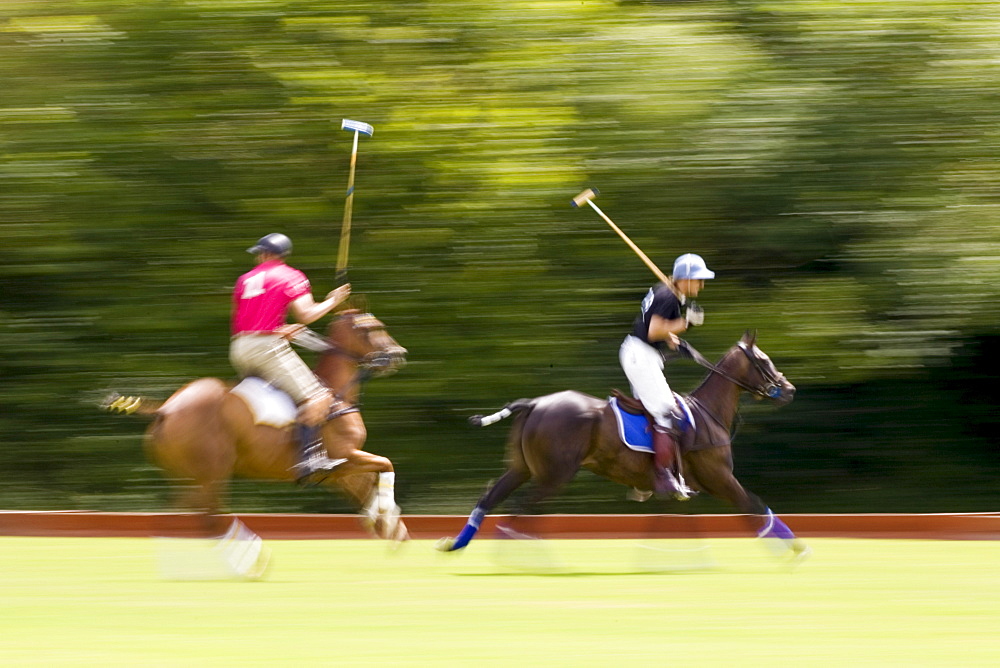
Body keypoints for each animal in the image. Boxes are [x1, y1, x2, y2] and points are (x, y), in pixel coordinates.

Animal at [104, 308, 410, 544]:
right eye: (373, 327)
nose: (399, 353)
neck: (336, 393)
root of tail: (166, 408)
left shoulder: (339, 471)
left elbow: (368, 485)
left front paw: (389, 528)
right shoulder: (345, 456)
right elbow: (386, 465)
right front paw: (388, 523)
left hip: (189, 475)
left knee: (178, 518)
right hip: (211, 472)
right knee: (208, 519)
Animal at [440, 330, 812, 560]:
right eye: (764, 361)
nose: (790, 390)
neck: (708, 413)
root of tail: (533, 404)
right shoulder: (719, 478)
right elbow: (754, 506)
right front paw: (797, 550)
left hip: (522, 468)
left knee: (490, 498)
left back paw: (454, 545)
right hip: (553, 475)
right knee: (520, 511)